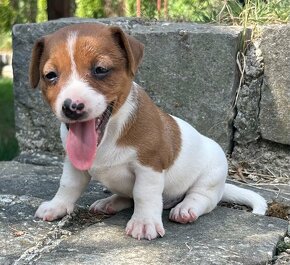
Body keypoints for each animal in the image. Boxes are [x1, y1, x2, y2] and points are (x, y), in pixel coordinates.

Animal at [29, 22, 268, 239]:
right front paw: (57, 206)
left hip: (211, 176)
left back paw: (185, 209)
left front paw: (144, 223)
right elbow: (68, 184)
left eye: (100, 70)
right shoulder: (73, 163)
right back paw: (110, 202)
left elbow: (144, 194)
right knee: (127, 196)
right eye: (50, 75)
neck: (110, 132)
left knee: (202, 198)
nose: (71, 107)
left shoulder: (149, 166)